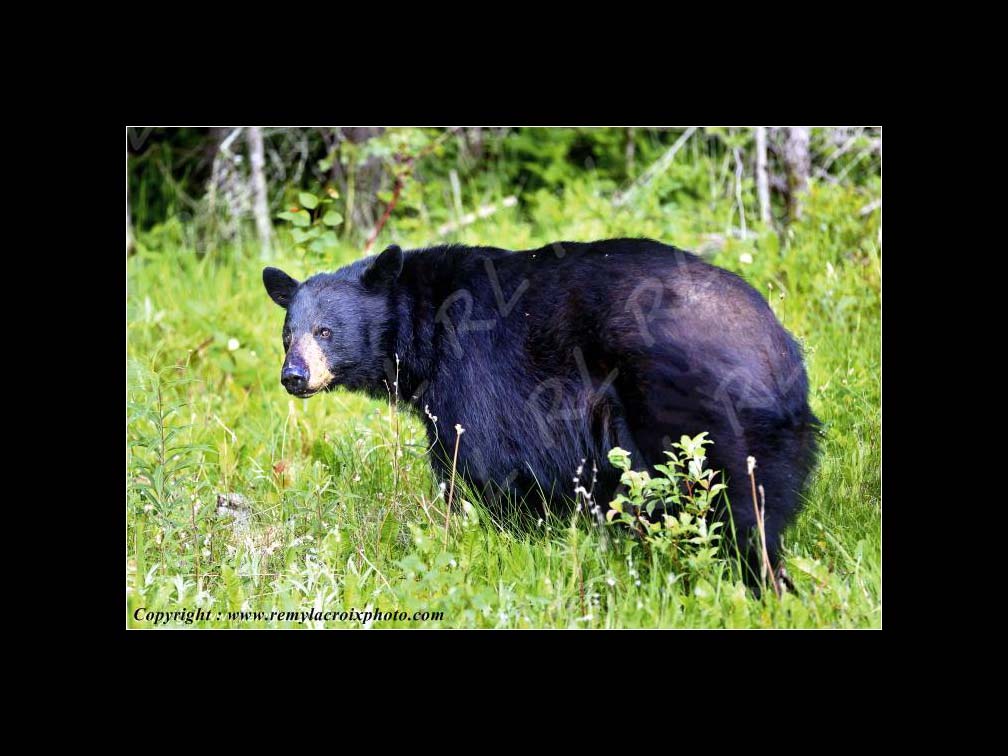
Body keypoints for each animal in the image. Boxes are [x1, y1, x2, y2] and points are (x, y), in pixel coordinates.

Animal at [263, 238, 819, 585]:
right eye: (288, 334)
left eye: (325, 331)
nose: (294, 376)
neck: (426, 327)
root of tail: (773, 349)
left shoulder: (478, 373)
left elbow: (478, 460)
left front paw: (495, 534)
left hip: (692, 410)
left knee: (734, 501)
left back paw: (754, 576)